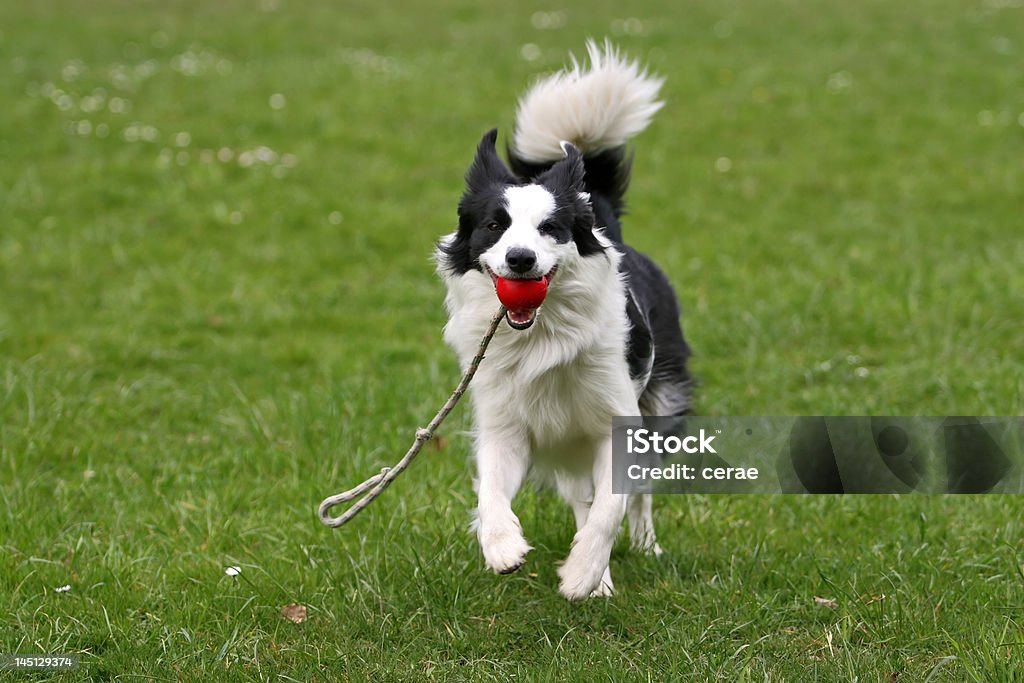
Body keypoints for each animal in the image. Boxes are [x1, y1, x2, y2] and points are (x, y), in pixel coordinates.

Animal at [436, 41, 692, 598]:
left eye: (550, 228)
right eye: (494, 226)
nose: (520, 260)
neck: (543, 335)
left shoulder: (616, 420)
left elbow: (612, 505)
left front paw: (581, 575)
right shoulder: (506, 421)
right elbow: (492, 488)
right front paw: (503, 547)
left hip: (659, 402)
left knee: (636, 493)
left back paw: (642, 549)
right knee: (581, 495)